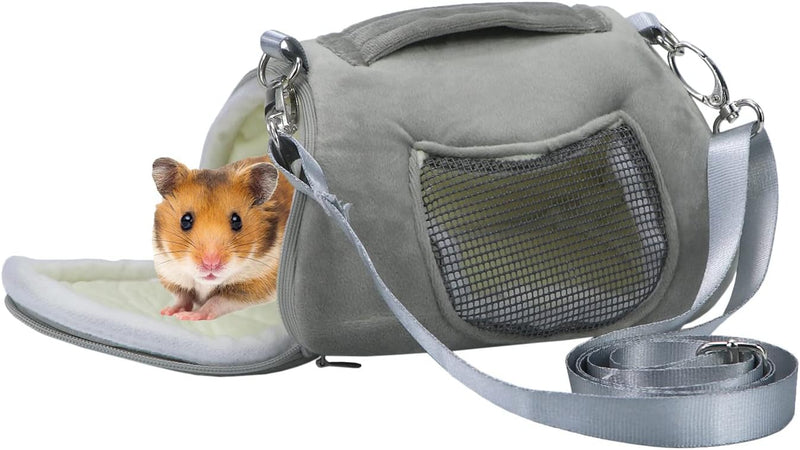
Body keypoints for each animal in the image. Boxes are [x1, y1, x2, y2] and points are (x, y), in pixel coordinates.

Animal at [151, 156, 293, 320]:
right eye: (185, 220)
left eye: (237, 220)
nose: (211, 263)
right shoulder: (171, 274)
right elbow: (182, 297)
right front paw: (168, 312)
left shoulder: (254, 286)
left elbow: (216, 301)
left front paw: (190, 316)